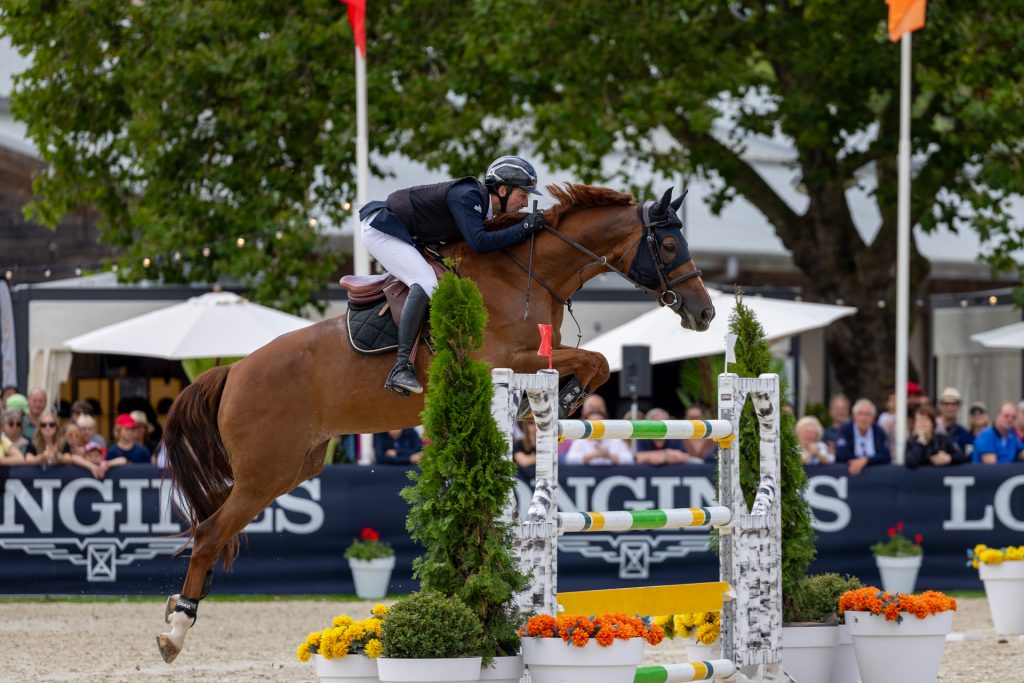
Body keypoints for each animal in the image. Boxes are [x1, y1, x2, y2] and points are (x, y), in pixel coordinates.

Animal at [155, 183, 712, 663]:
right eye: (667, 243)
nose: (704, 313)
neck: (524, 274)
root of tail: (233, 370)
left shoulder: (536, 352)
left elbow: (594, 361)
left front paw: (564, 396)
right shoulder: (505, 359)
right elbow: (593, 357)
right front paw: (565, 395)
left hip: (293, 468)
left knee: (216, 530)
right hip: (263, 472)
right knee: (208, 533)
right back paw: (176, 631)